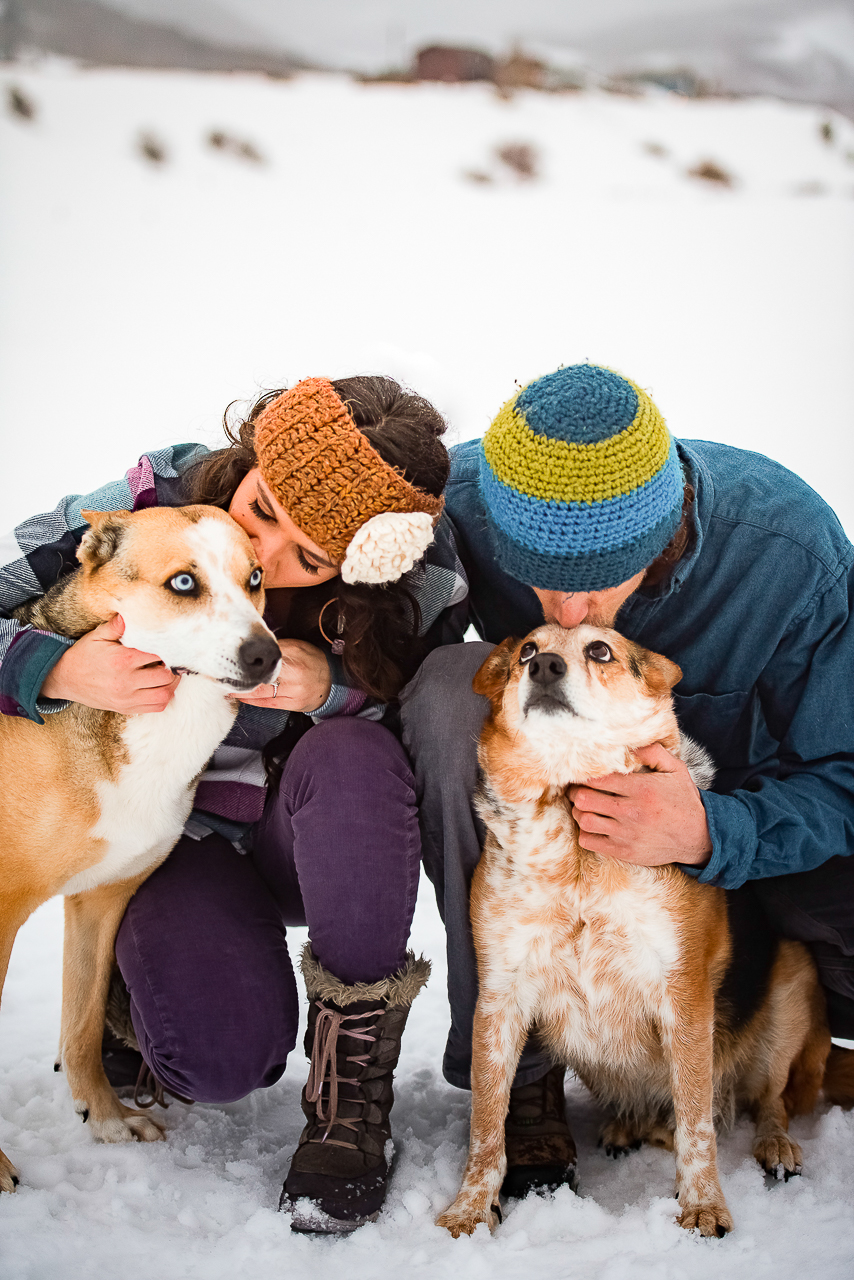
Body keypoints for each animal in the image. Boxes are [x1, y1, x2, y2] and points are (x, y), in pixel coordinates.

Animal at [0, 504, 280, 1192]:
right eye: (183, 583)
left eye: (255, 577)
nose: (267, 654)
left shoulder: (102, 900)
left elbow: (79, 1025)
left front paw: (106, 1119)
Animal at [437, 622, 850, 1239]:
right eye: (527, 650)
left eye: (599, 650)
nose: (545, 667)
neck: (574, 841)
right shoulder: (499, 998)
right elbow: (486, 1125)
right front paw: (469, 1209)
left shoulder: (684, 993)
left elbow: (698, 1126)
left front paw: (705, 1207)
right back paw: (629, 1127)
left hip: (790, 989)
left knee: (767, 1102)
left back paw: (774, 1145)